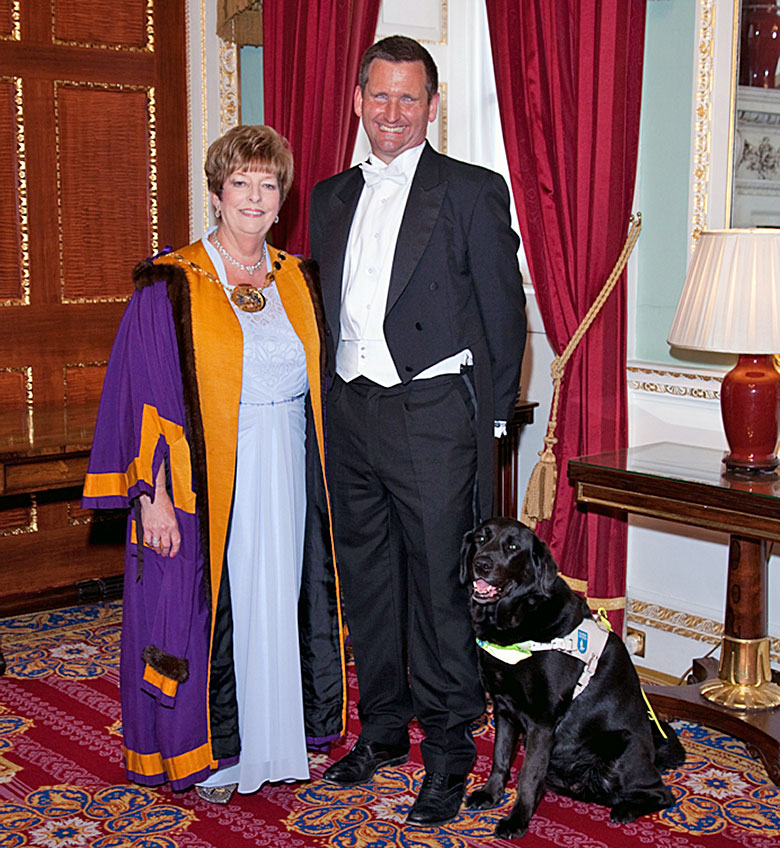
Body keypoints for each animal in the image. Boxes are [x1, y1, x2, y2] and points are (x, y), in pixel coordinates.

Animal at [464, 512, 684, 840]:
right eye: (481, 537)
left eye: (513, 546)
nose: (481, 564)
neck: (515, 623)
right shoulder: (504, 708)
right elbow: (500, 758)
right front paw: (491, 795)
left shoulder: (541, 721)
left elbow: (528, 776)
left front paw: (517, 820)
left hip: (622, 747)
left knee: (661, 793)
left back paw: (625, 809)